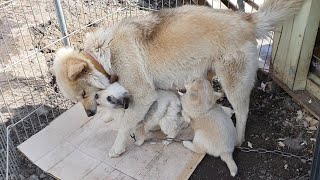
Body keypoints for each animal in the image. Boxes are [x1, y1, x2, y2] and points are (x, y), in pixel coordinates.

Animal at [50, 0, 304, 158]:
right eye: (78, 99)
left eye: (84, 93)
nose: (89, 114)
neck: (106, 53)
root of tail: (247, 19)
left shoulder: (142, 94)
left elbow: (125, 126)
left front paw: (118, 148)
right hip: (207, 73)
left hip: (234, 83)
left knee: (243, 112)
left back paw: (239, 139)